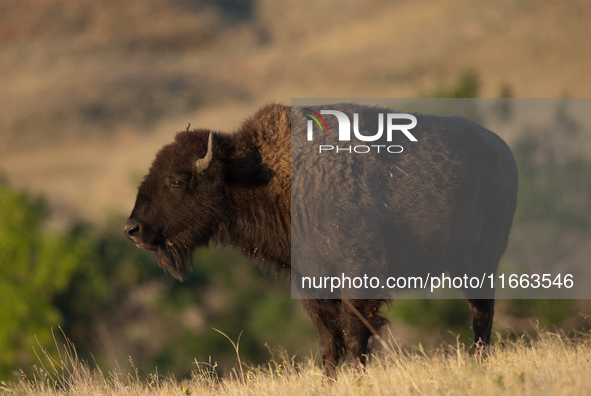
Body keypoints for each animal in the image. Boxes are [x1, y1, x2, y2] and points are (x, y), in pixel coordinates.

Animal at [125, 103, 520, 378]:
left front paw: (359, 379)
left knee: (482, 312)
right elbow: (329, 342)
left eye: (176, 181)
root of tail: (503, 151)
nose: (133, 230)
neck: (259, 174)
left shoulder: (358, 277)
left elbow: (355, 334)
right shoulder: (311, 284)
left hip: (479, 260)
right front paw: (330, 381)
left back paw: (479, 360)